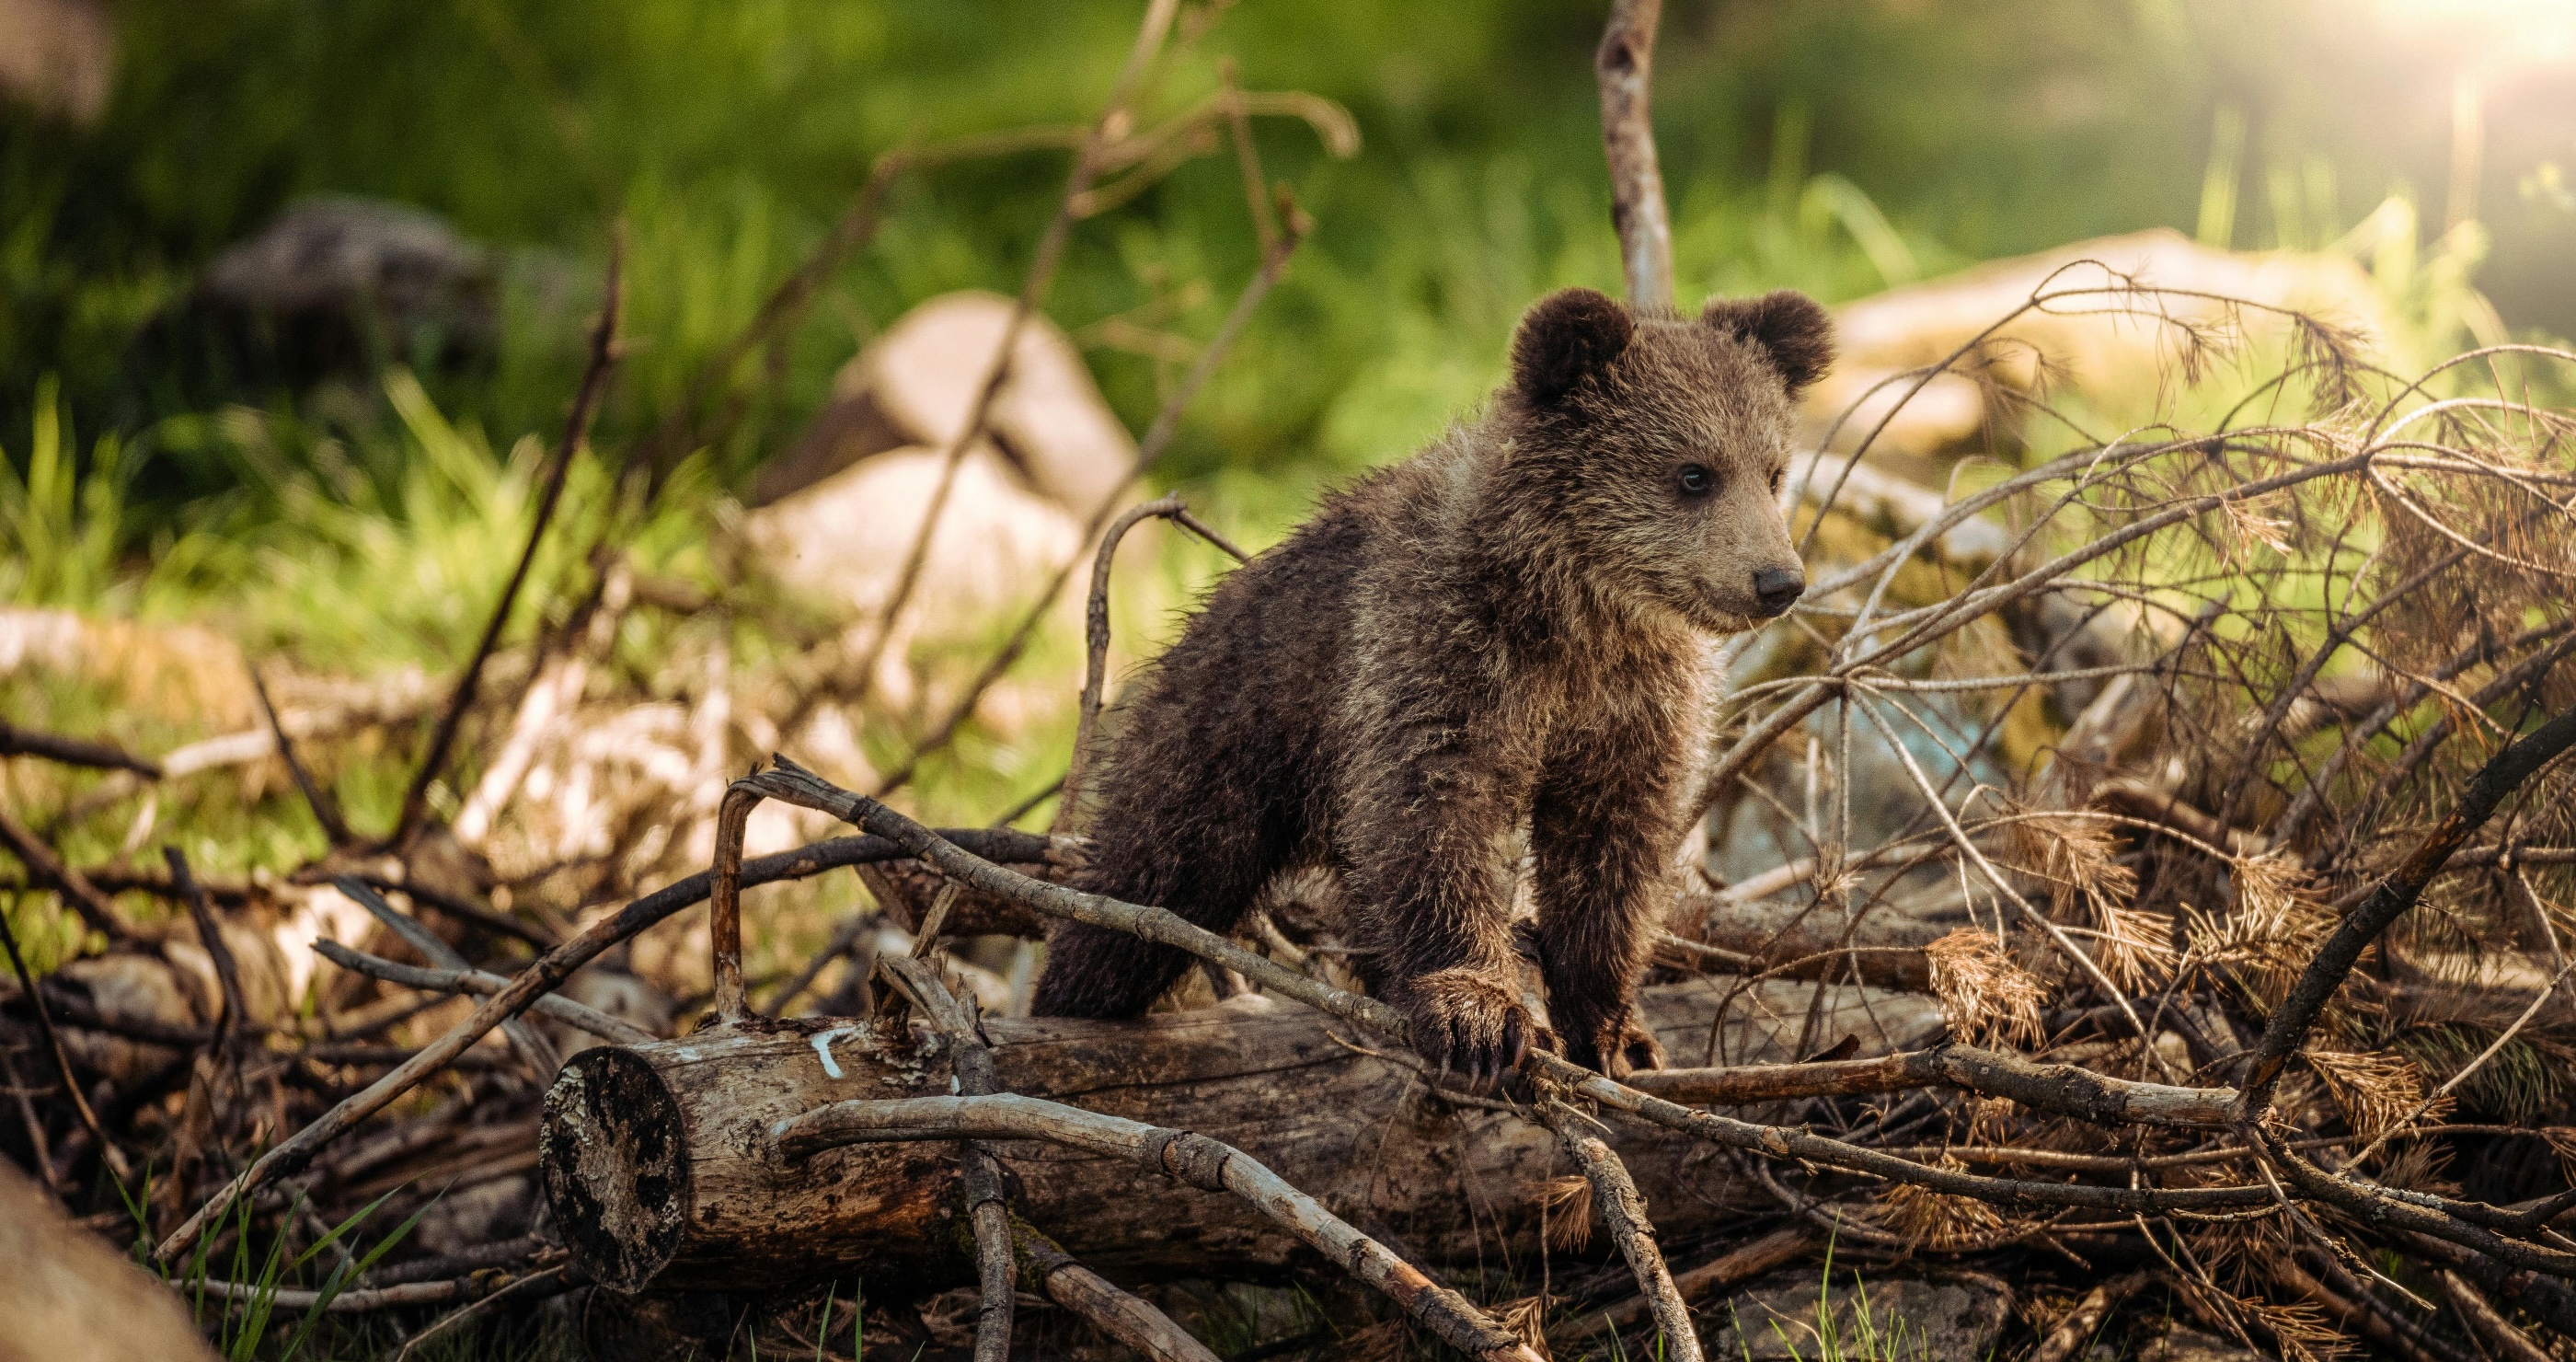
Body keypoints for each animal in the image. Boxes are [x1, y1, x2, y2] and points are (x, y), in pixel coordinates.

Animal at [1030, 285, 1831, 1083]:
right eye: (1694, 473)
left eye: (1773, 470)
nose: (1777, 581)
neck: (1576, 612)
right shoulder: (1442, 653)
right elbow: (1435, 815)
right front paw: (1477, 1015)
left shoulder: (1633, 703)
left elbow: (1612, 849)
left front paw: (1615, 1031)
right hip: (1222, 741)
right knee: (1141, 889)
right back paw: (1070, 1000)